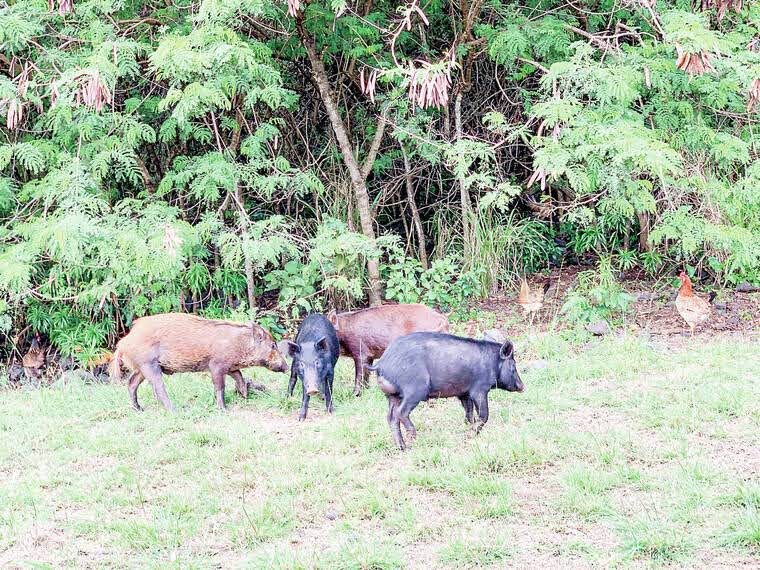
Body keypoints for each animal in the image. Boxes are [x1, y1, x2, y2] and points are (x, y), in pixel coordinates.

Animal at [111, 310, 290, 408]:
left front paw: (244, 396)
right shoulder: (216, 365)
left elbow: (239, 377)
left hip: (141, 368)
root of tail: (123, 342)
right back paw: (175, 410)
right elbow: (220, 387)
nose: (287, 367)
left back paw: (138, 409)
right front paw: (224, 409)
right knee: (158, 388)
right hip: (149, 365)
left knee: (131, 383)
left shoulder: (230, 366)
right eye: (273, 345)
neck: (239, 345)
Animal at [370, 332, 524, 448]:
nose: (523, 386)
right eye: (513, 364)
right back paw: (413, 438)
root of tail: (382, 363)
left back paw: (402, 447)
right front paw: (469, 435)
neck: (492, 363)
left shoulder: (464, 393)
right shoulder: (479, 389)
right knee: (401, 412)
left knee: (391, 417)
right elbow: (484, 414)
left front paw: (467, 428)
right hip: (414, 389)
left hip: (392, 395)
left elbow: (469, 412)